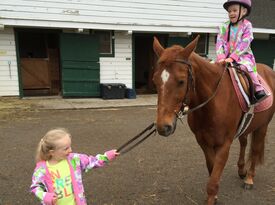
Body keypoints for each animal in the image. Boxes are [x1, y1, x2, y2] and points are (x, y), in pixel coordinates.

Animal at [152, 36, 275, 204]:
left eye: (181, 81)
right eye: (155, 80)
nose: (163, 127)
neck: (213, 102)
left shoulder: (224, 145)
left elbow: (212, 180)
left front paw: (212, 197)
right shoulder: (204, 142)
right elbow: (212, 172)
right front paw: (215, 196)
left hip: (262, 126)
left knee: (255, 149)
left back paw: (249, 178)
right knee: (244, 143)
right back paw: (242, 170)